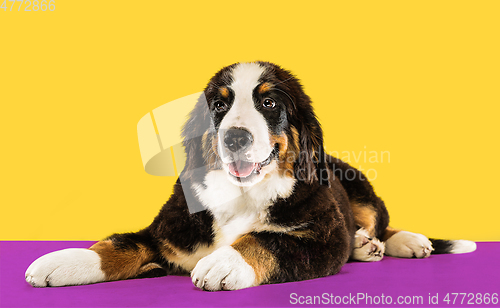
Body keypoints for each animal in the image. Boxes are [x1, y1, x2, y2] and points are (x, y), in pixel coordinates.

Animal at [24, 61, 476, 290]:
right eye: (219, 106)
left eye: (270, 103)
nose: (236, 136)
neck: (240, 194)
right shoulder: (167, 232)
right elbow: (120, 243)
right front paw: (65, 260)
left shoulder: (322, 235)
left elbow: (267, 240)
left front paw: (225, 261)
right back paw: (367, 247)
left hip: (357, 186)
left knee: (378, 222)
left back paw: (404, 241)